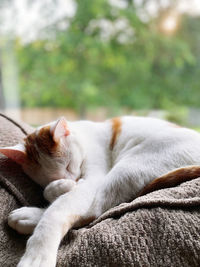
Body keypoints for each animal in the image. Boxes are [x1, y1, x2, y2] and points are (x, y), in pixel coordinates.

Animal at [0, 116, 200, 267]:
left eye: (68, 164)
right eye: (47, 176)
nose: (71, 179)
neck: (83, 135)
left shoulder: (93, 178)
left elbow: (56, 211)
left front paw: (38, 255)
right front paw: (60, 186)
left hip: (128, 167)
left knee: (93, 211)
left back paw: (27, 217)